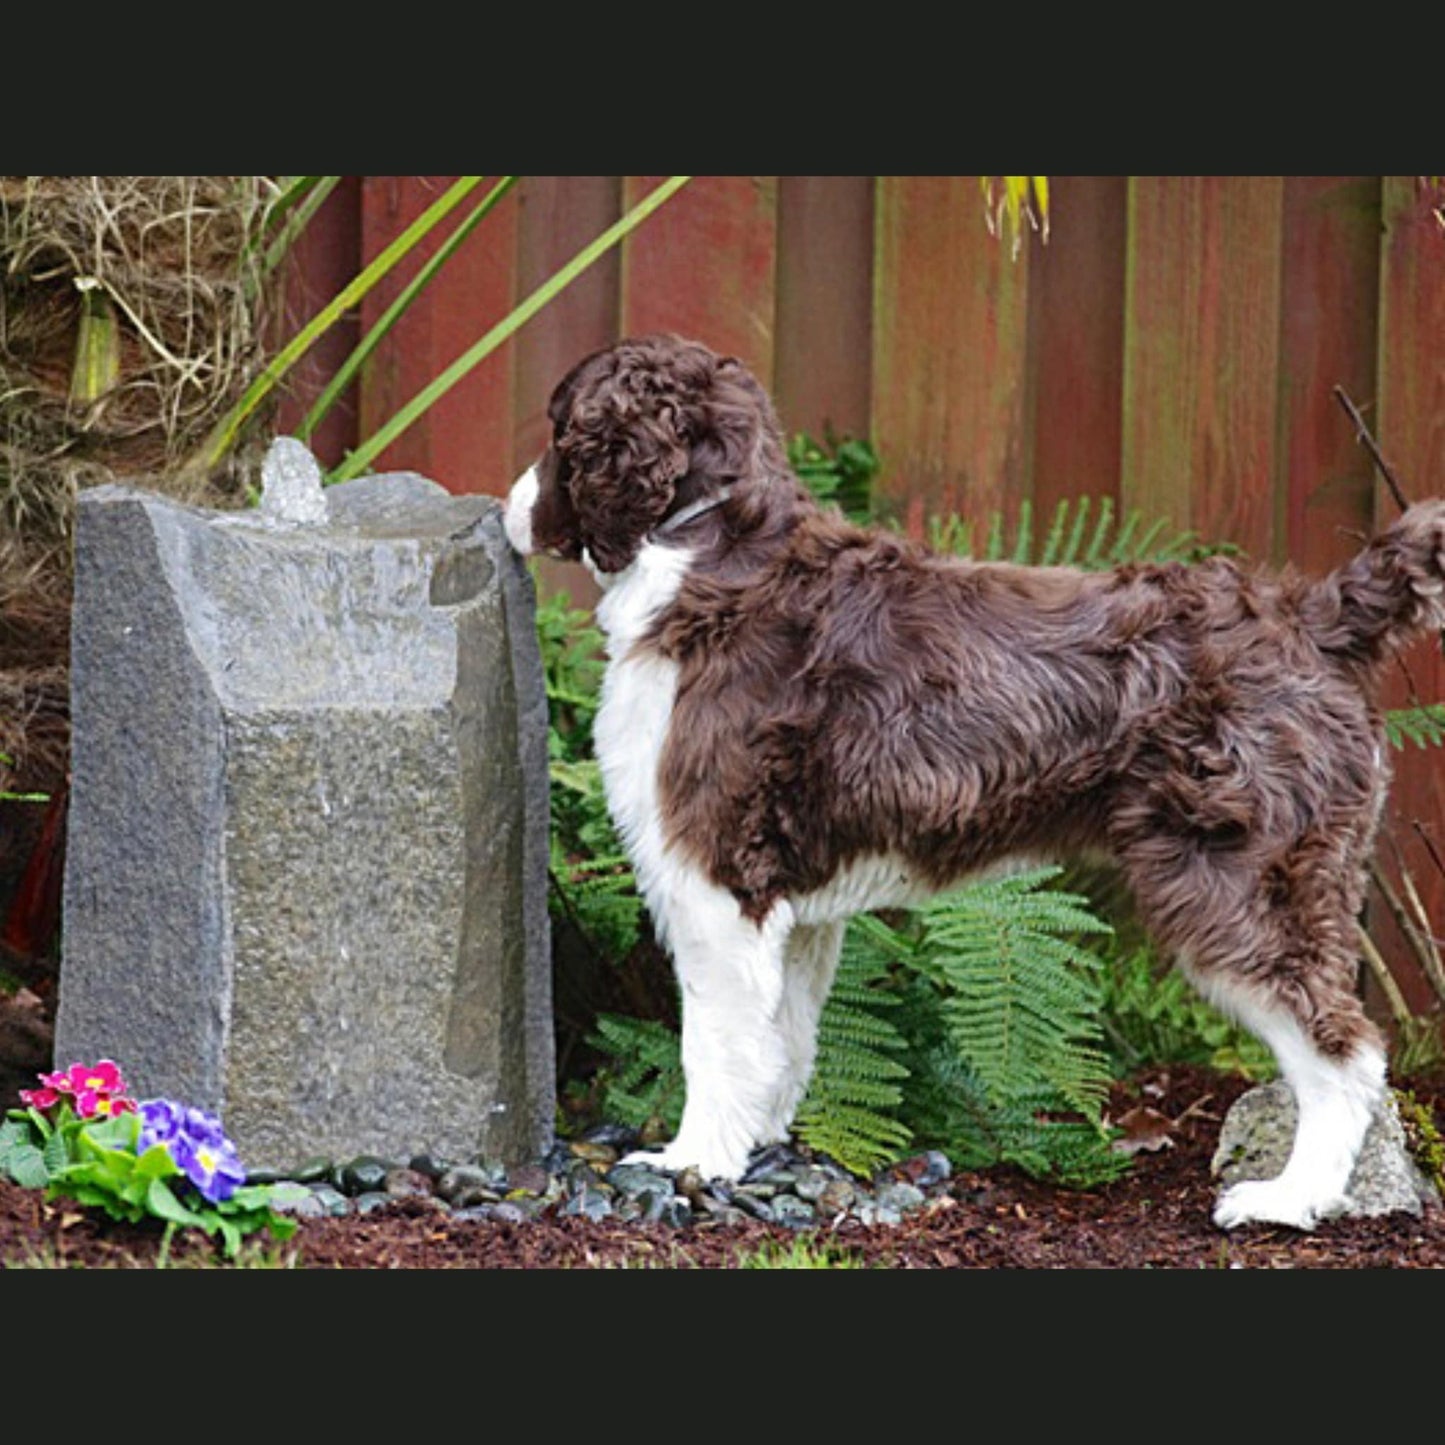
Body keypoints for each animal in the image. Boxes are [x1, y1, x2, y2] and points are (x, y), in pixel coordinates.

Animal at [499, 332, 1445, 1225]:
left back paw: (1289, 1199)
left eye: (559, 424)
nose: (505, 507)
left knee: (1343, 1051)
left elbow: (716, 1039)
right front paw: (756, 1144)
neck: (711, 545)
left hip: (1240, 885)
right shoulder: (792, 904)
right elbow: (783, 1037)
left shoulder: (715, 875)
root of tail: (1308, 618)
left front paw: (692, 1159)